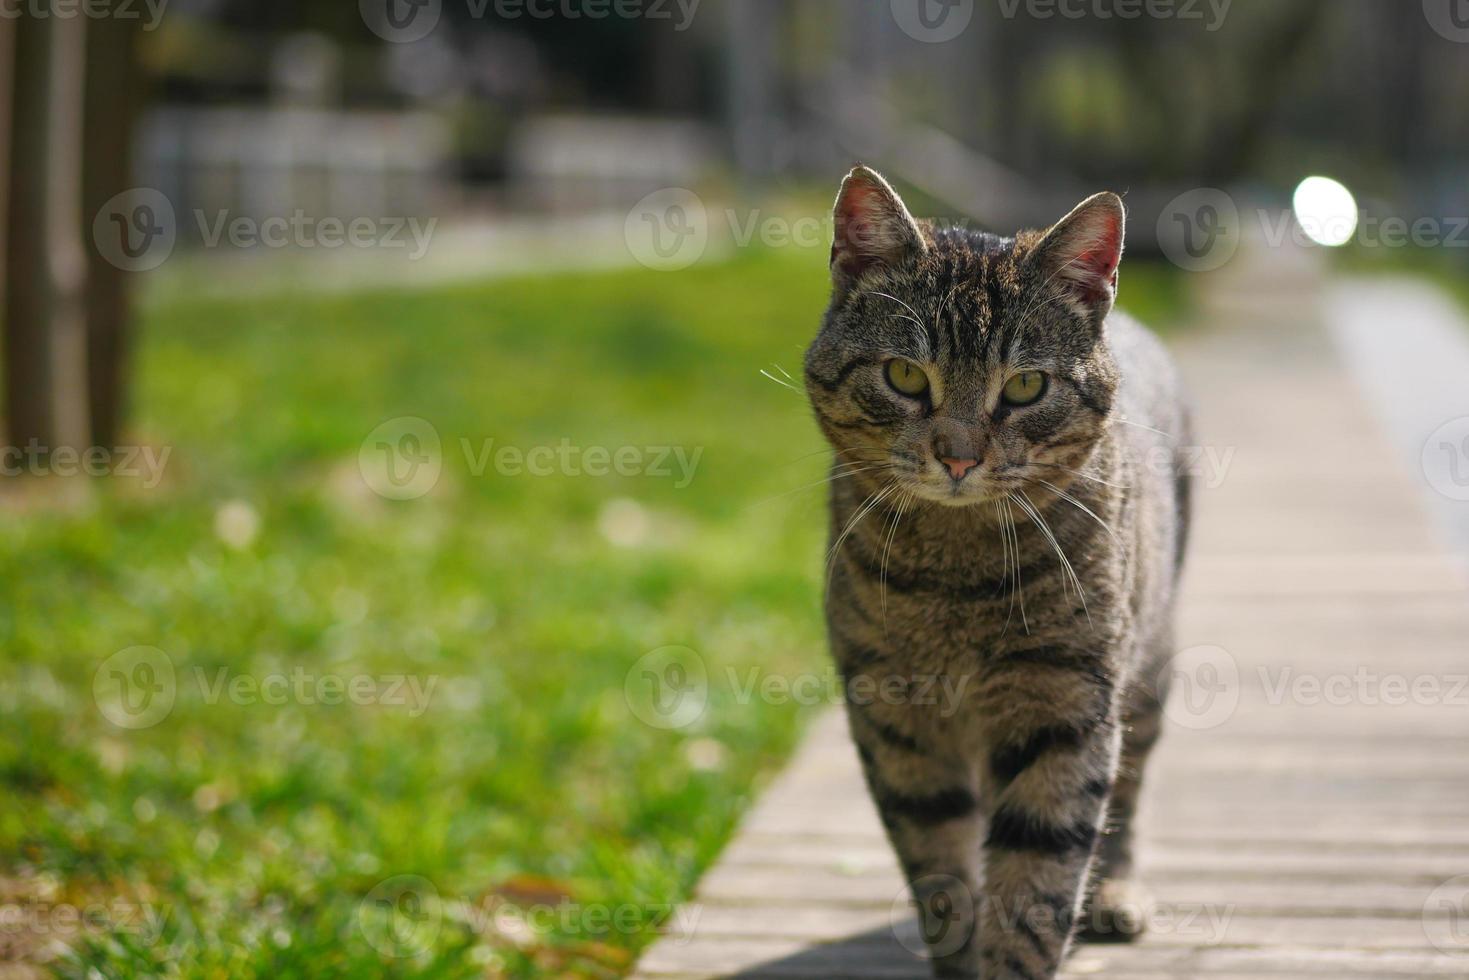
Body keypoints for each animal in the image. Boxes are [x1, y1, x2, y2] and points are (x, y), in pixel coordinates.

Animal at [805, 168, 1192, 980]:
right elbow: (941, 871)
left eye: (1023, 388)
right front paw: (958, 952)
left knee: (1128, 792)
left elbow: (1037, 879)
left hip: (1148, 671)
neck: (956, 578)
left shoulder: (1067, 710)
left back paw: (1116, 891)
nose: (958, 457)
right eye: (903, 374)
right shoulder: (896, 718)